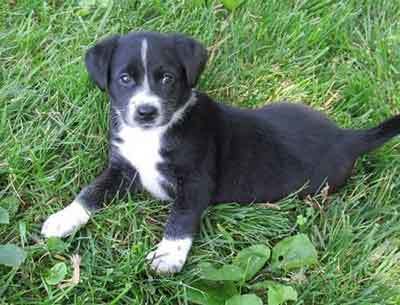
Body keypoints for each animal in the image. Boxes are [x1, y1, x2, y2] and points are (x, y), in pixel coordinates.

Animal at [41, 32, 400, 274]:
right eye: (125, 78)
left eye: (167, 78)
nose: (145, 112)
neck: (152, 134)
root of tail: (347, 137)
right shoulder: (122, 168)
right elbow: (90, 192)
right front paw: (63, 219)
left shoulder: (196, 180)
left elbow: (181, 218)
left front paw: (168, 256)